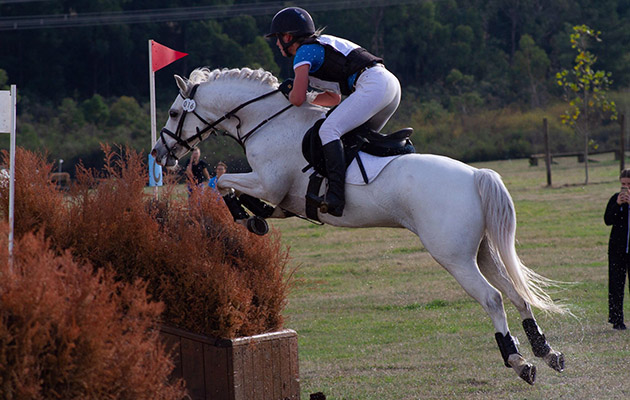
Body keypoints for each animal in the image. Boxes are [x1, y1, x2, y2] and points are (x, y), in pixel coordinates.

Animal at [152, 68, 568, 384]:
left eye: (172, 113)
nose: (158, 153)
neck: (266, 123)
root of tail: (476, 175)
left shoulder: (270, 183)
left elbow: (223, 182)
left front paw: (245, 216)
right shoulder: (285, 201)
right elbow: (244, 194)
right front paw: (253, 216)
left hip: (454, 256)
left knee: (493, 298)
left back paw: (519, 361)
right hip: (480, 250)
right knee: (515, 293)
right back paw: (547, 352)